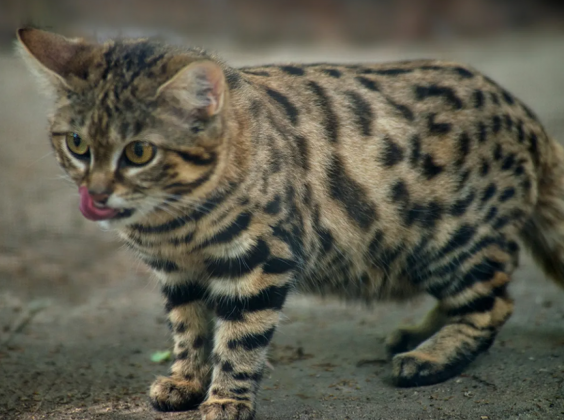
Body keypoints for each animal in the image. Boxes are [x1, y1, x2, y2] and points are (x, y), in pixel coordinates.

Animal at [17, 27, 564, 418]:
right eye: (77, 144)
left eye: (138, 152)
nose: (96, 194)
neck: (172, 222)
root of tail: (526, 117)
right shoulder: (177, 273)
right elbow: (188, 329)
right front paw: (186, 381)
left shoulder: (258, 260)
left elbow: (240, 339)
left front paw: (225, 400)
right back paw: (415, 333)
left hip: (453, 242)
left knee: (494, 302)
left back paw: (428, 357)